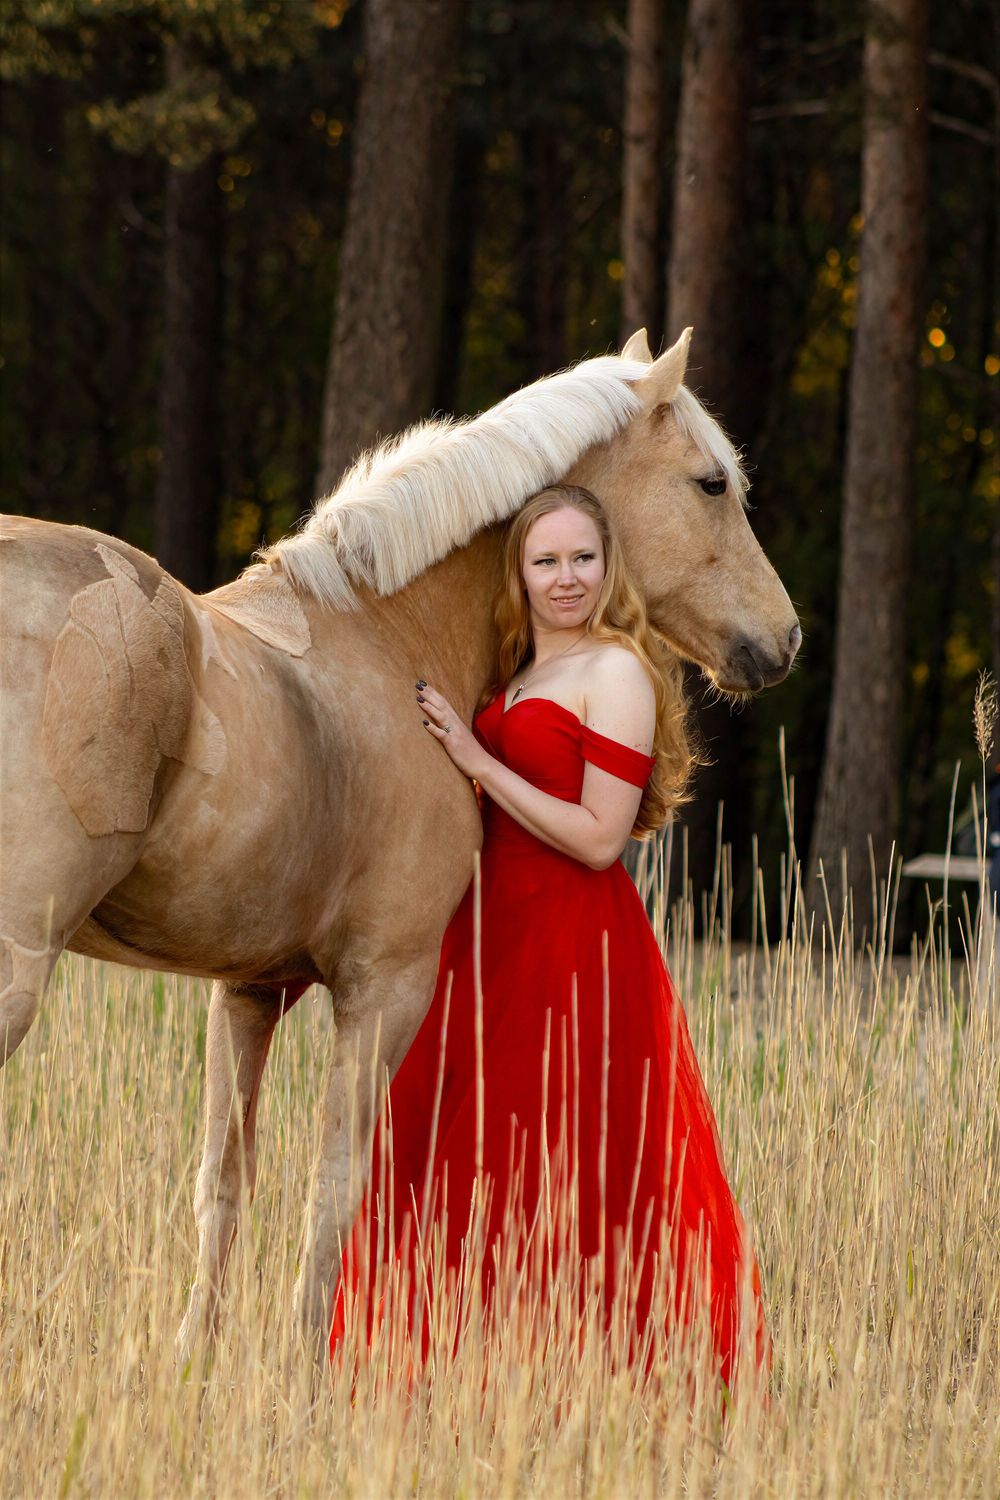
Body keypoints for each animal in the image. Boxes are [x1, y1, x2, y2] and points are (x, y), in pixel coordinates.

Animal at [0, 328, 800, 1358]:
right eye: (710, 483)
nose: (782, 639)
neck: (385, 634)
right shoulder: (387, 989)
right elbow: (336, 1191)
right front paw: (306, 1370)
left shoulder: (248, 992)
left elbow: (223, 1184)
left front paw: (196, 1363)